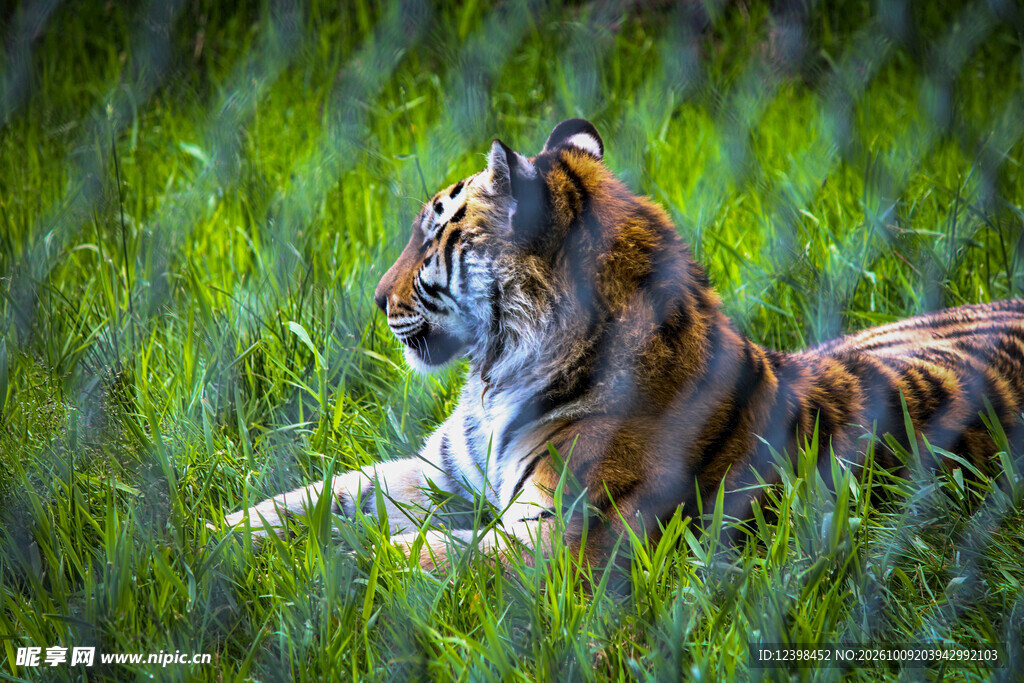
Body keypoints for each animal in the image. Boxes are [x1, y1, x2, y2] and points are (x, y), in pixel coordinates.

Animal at [221, 118, 1024, 569]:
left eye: (430, 236)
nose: (375, 299)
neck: (495, 378)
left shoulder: (560, 534)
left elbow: (408, 552)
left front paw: (318, 575)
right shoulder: (439, 474)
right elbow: (310, 498)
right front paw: (209, 538)